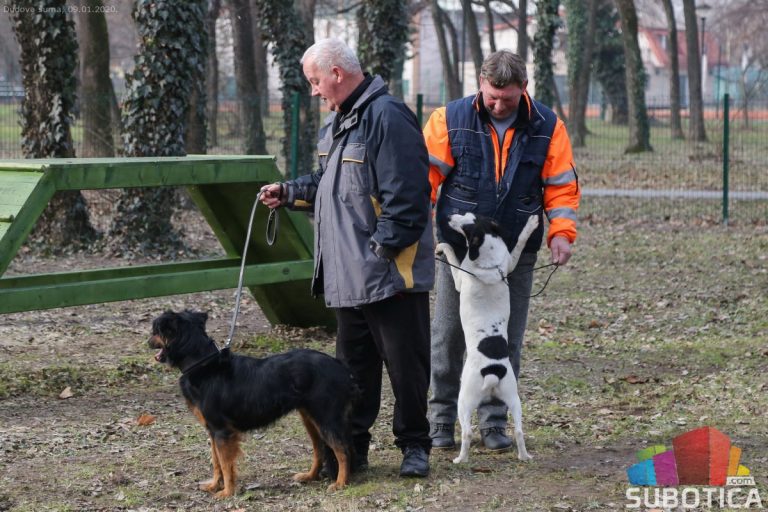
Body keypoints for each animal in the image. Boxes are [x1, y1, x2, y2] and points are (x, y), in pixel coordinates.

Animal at [436, 212, 536, 464]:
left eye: (466, 225)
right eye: (470, 215)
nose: (449, 215)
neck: (490, 264)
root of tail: (492, 373)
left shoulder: (460, 276)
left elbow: (451, 255)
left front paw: (442, 246)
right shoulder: (509, 262)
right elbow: (519, 243)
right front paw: (531, 224)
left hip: (464, 400)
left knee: (467, 432)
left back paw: (460, 459)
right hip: (514, 399)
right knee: (519, 431)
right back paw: (524, 456)